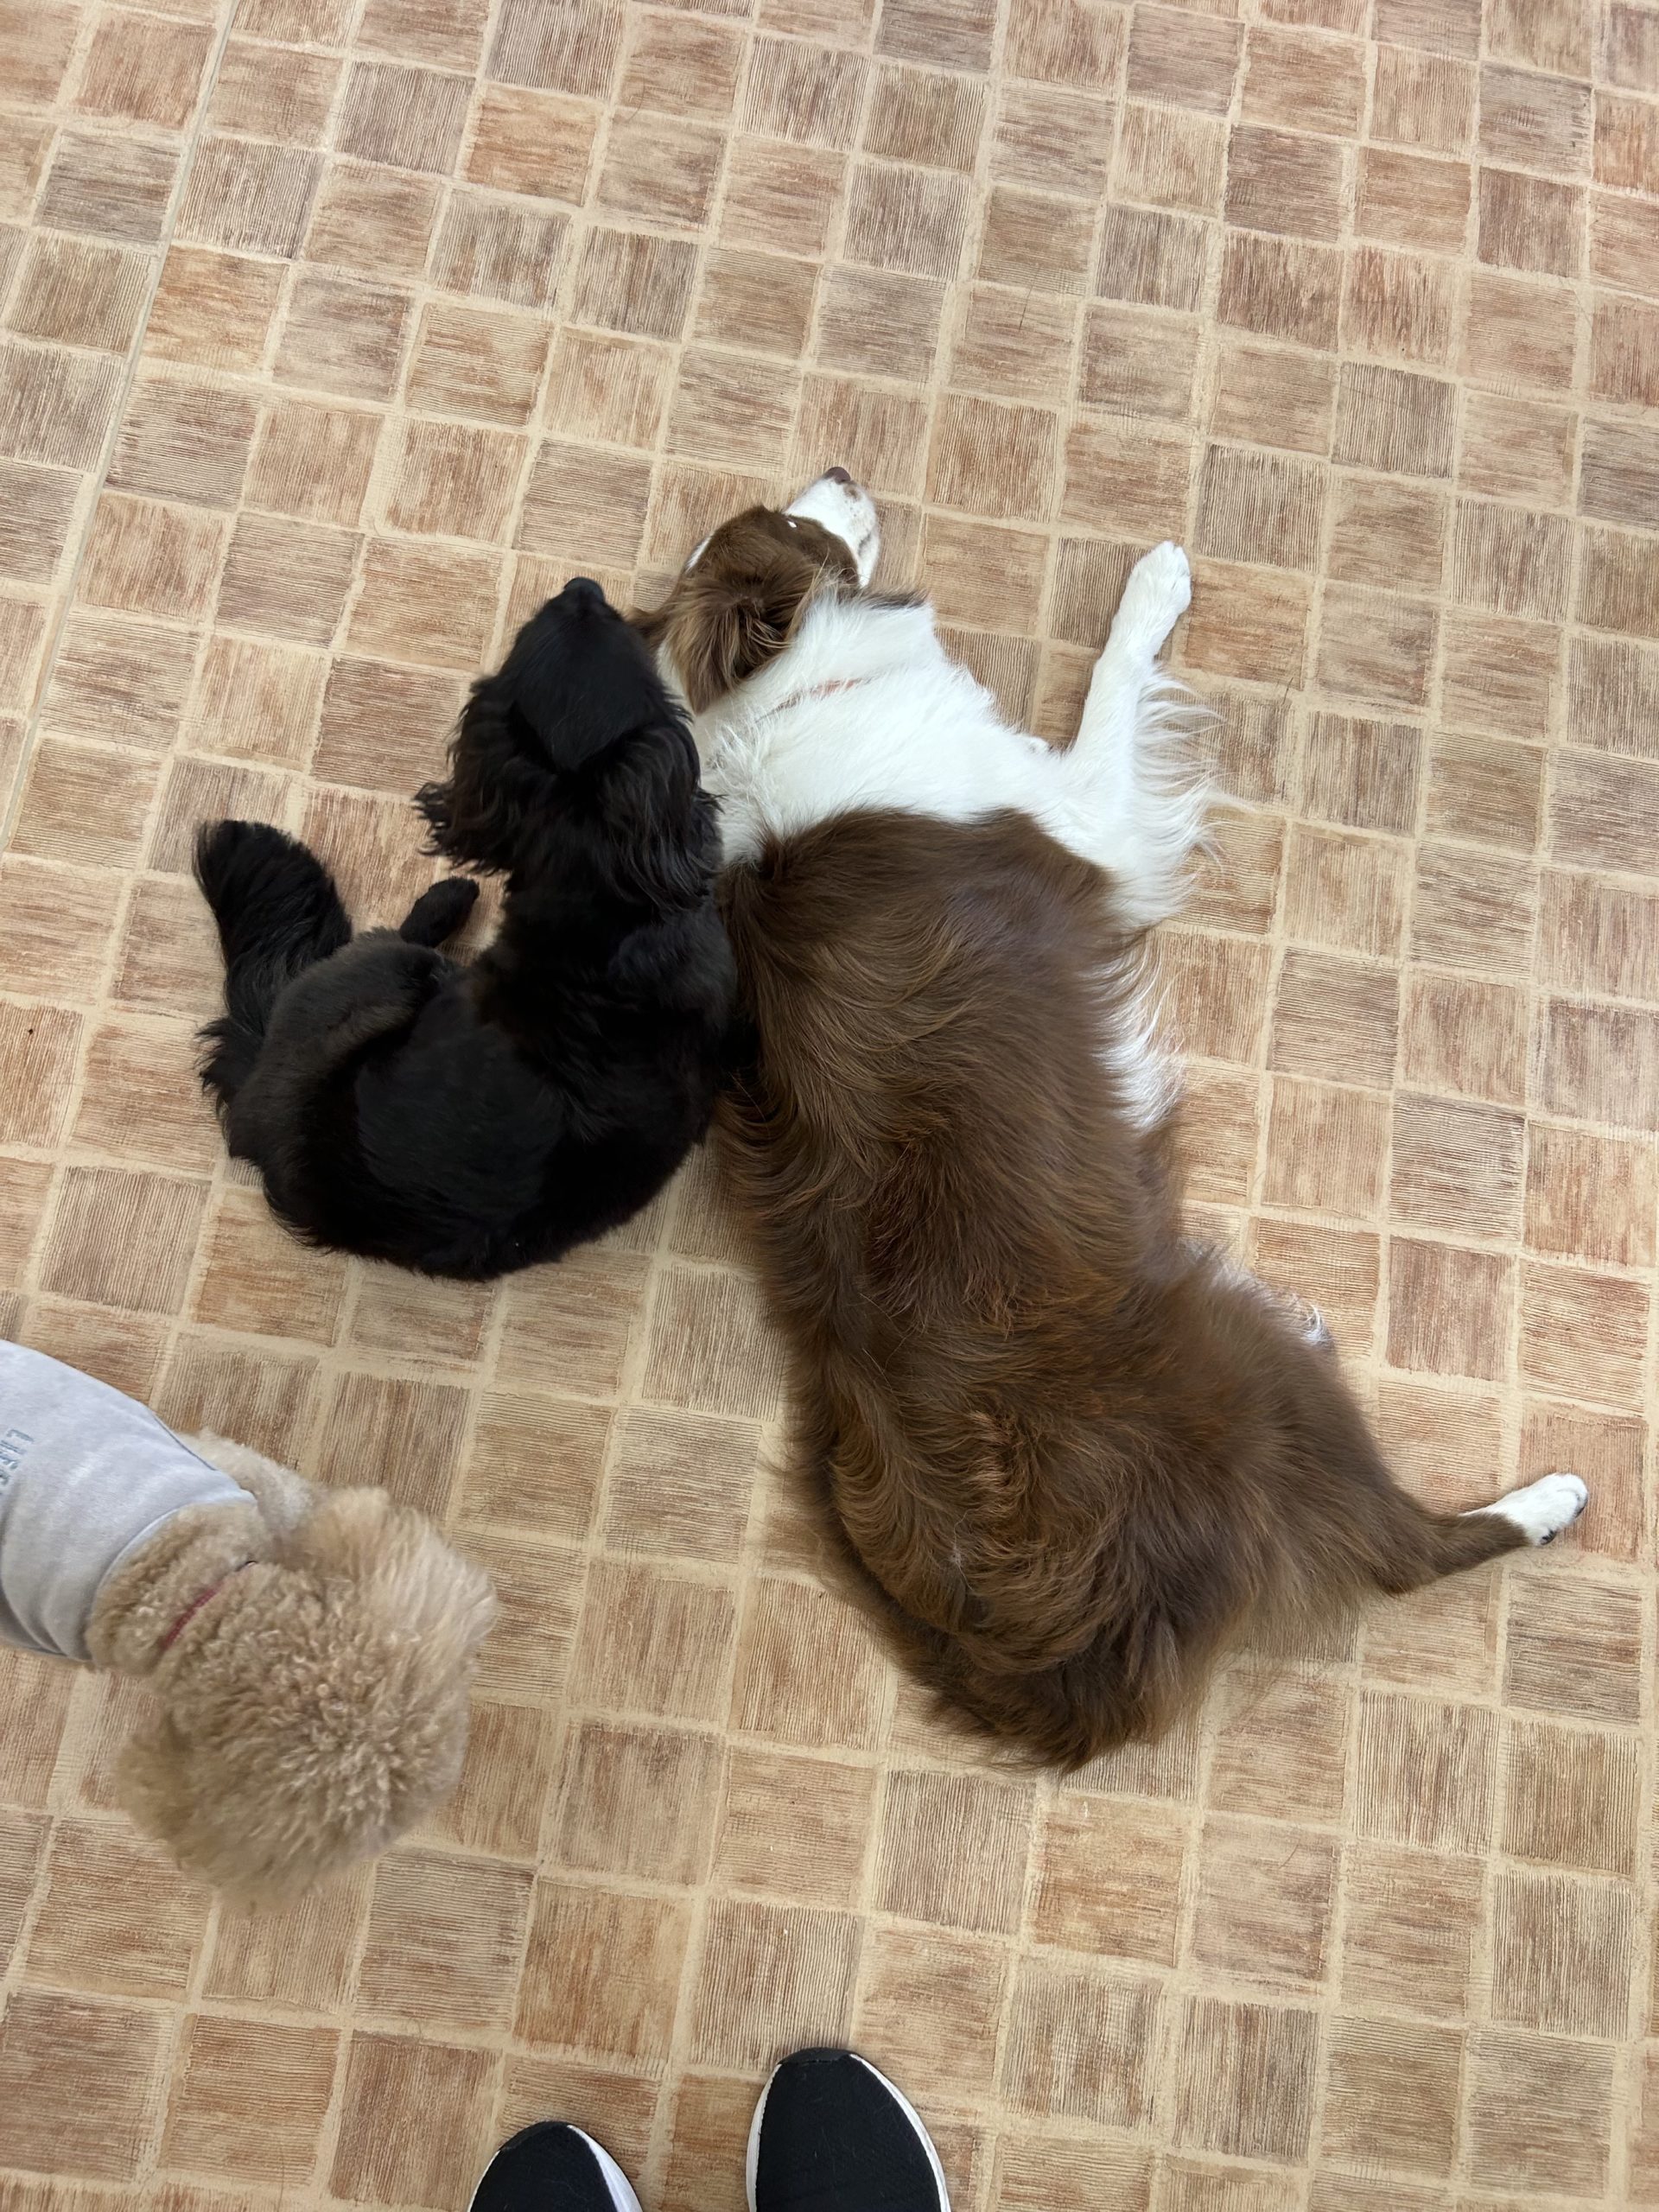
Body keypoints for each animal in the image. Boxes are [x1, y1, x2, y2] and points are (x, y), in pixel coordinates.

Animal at [194, 577, 735, 1281]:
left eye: (528, 641)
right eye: (618, 633)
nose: (582, 587)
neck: (604, 917)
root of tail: (252, 1109)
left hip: (386, 974)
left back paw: (450, 895)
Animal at [636, 476, 1588, 1767]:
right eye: (791, 524)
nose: (843, 472)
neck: (777, 703)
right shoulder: (1088, 815)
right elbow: (1113, 678)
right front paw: (1157, 583)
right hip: (1260, 1396)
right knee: (1408, 1554)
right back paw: (1542, 1500)